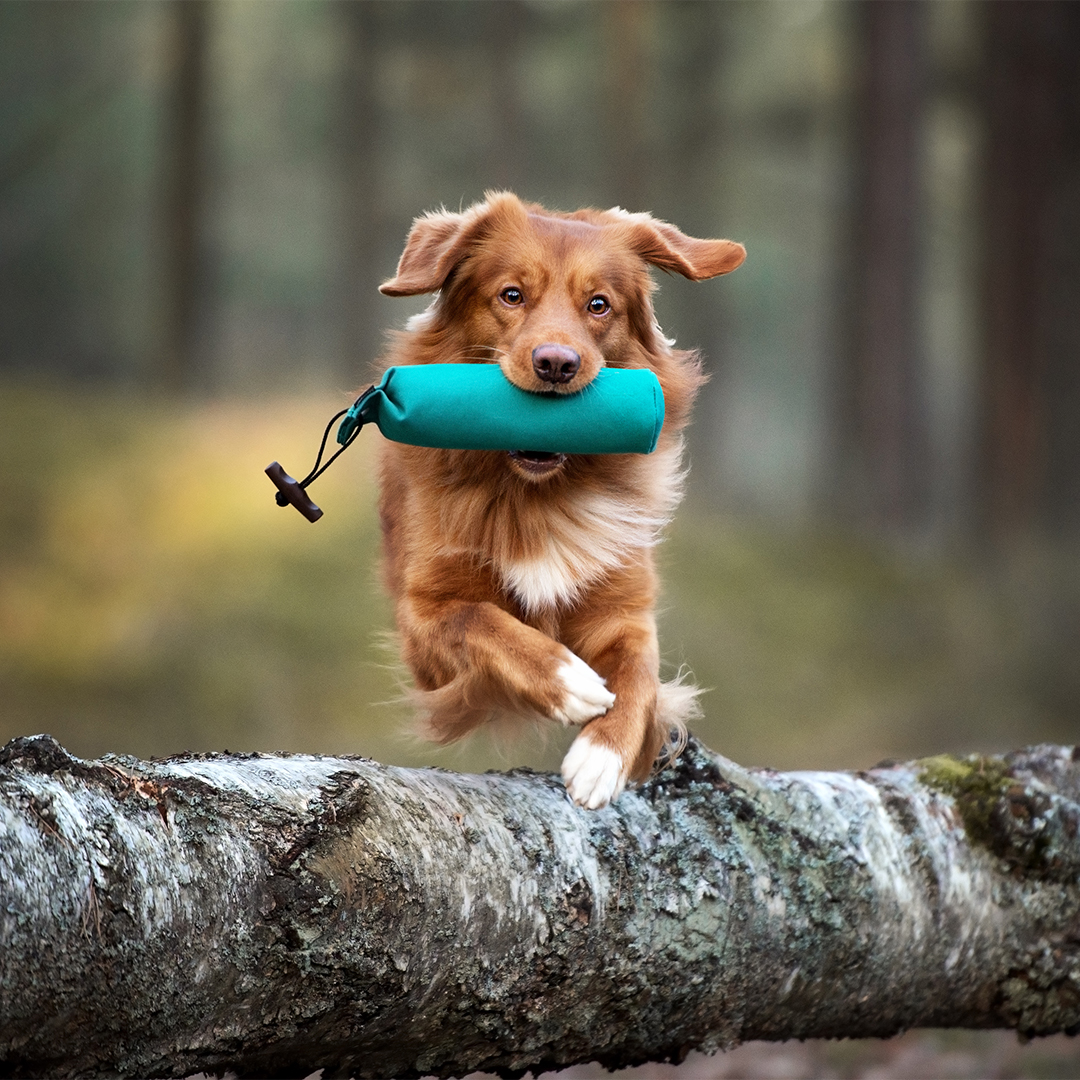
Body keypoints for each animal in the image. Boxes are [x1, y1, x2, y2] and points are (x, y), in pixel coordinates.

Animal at [378, 190, 743, 807]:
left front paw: (603, 754)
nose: (556, 364)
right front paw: (567, 679)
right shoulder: (423, 618)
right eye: (511, 295)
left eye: (599, 305)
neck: (537, 496)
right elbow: (481, 620)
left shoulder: (625, 608)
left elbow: (640, 672)